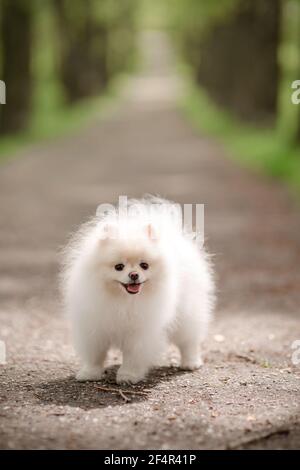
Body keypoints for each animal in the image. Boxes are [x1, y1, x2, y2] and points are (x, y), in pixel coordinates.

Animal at [61, 195, 216, 382]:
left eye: (144, 265)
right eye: (119, 267)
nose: (134, 275)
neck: (123, 300)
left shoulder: (140, 332)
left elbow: (132, 356)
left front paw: (128, 375)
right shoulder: (94, 327)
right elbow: (95, 354)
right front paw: (90, 373)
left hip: (187, 315)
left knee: (189, 341)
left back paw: (190, 362)